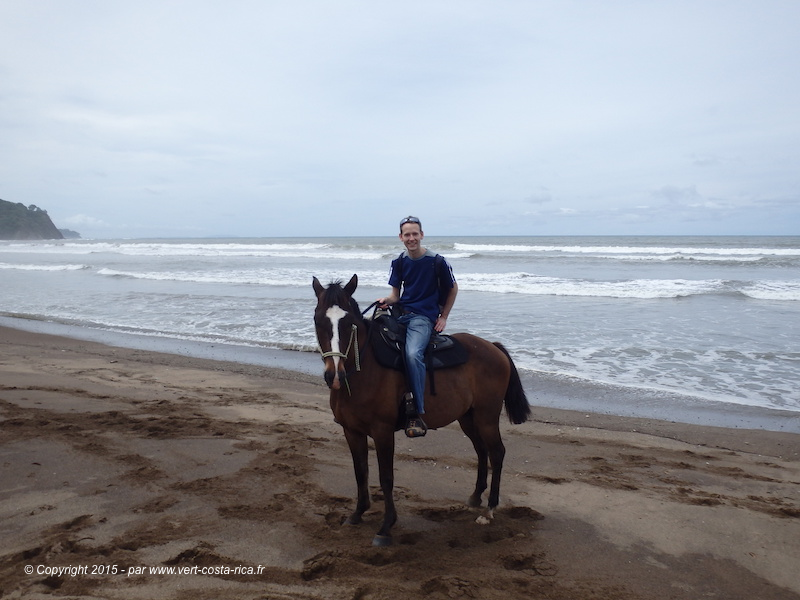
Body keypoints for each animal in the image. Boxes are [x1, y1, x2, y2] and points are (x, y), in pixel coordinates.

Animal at [312, 274, 532, 548]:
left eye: (349, 322)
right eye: (318, 320)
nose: (334, 375)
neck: (363, 370)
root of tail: (492, 347)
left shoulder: (383, 431)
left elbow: (386, 477)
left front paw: (386, 527)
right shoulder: (351, 431)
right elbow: (360, 471)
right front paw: (358, 513)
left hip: (487, 417)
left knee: (497, 453)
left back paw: (489, 509)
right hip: (468, 418)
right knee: (482, 451)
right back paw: (475, 497)